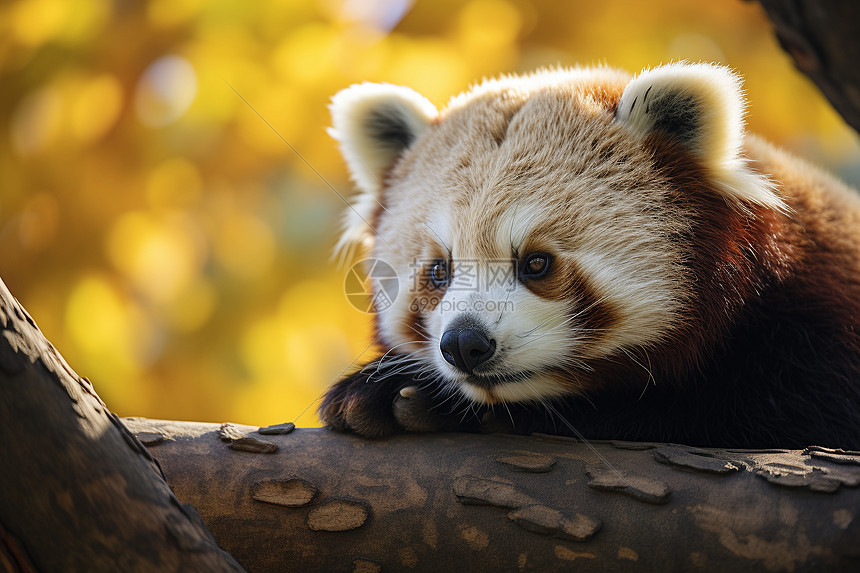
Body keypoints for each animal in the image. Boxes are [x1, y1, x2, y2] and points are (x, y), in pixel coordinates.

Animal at [320, 61, 860, 446]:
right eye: (438, 271)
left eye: (536, 263)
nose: (465, 344)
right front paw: (381, 388)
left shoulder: (816, 334)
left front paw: (426, 400)